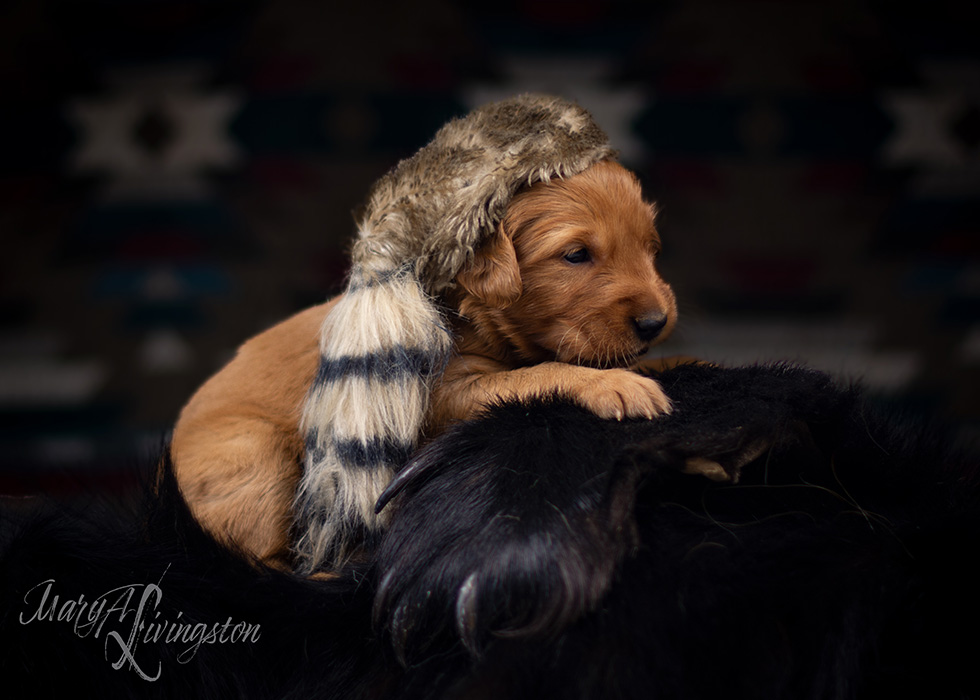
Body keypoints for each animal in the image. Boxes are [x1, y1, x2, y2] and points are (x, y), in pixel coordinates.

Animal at [170, 159, 672, 568]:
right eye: (575, 255)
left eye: (651, 249)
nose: (657, 321)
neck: (470, 312)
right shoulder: (442, 393)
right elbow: (539, 373)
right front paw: (612, 385)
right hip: (257, 456)